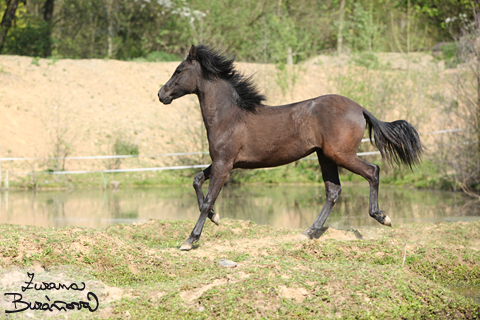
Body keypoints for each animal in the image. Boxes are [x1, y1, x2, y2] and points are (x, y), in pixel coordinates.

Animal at [157, 45, 420, 251]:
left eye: (179, 70)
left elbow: (208, 199)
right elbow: (197, 180)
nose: (161, 94)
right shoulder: (225, 162)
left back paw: (382, 217)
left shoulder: (224, 163)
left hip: (341, 154)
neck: (228, 116)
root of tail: (359, 108)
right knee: (333, 191)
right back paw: (309, 232)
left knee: (372, 171)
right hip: (325, 157)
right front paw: (216, 218)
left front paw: (190, 240)